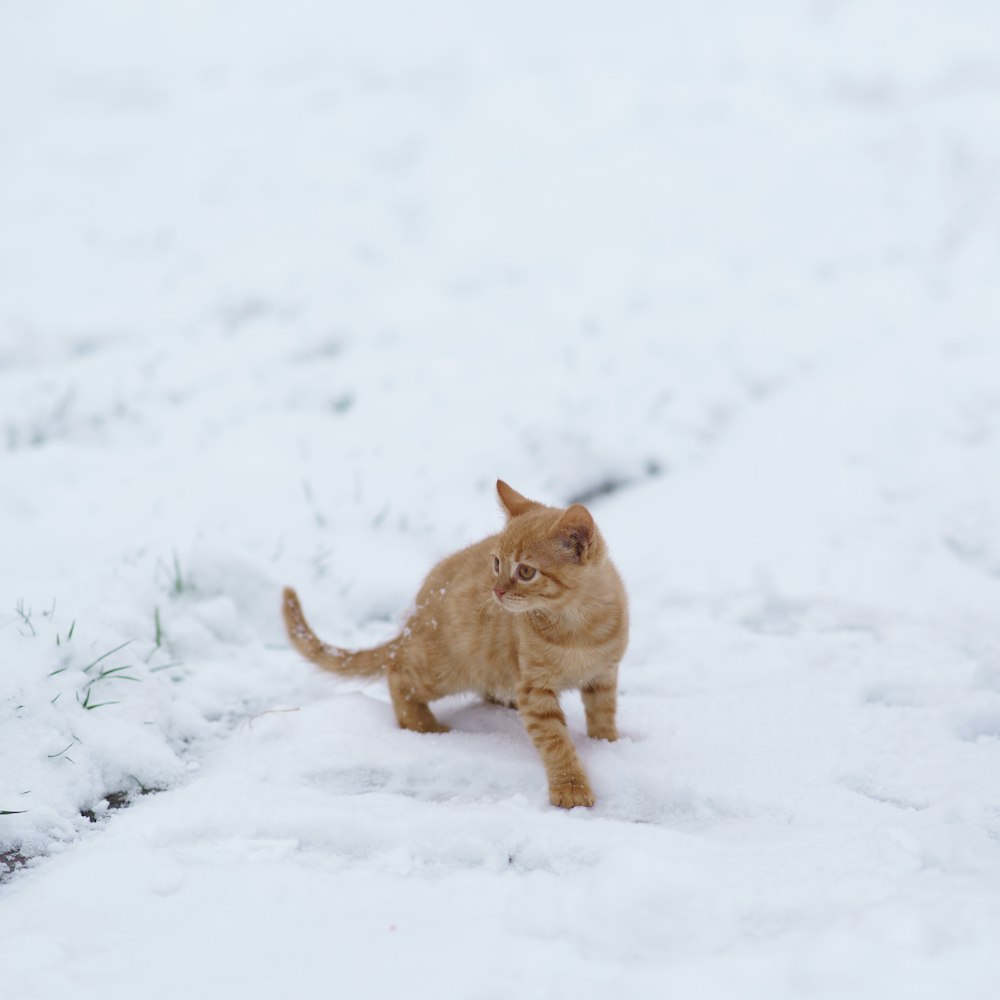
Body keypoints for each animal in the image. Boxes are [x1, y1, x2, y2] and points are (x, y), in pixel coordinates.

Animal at [282, 480, 624, 808]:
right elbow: (555, 741)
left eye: (526, 571)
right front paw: (570, 786)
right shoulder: (535, 690)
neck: (577, 625)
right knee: (398, 674)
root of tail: (413, 618)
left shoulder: (604, 676)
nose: (497, 591)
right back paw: (423, 725)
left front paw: (608, 746)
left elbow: (603, 714)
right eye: (496, 563)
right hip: (446, 668)